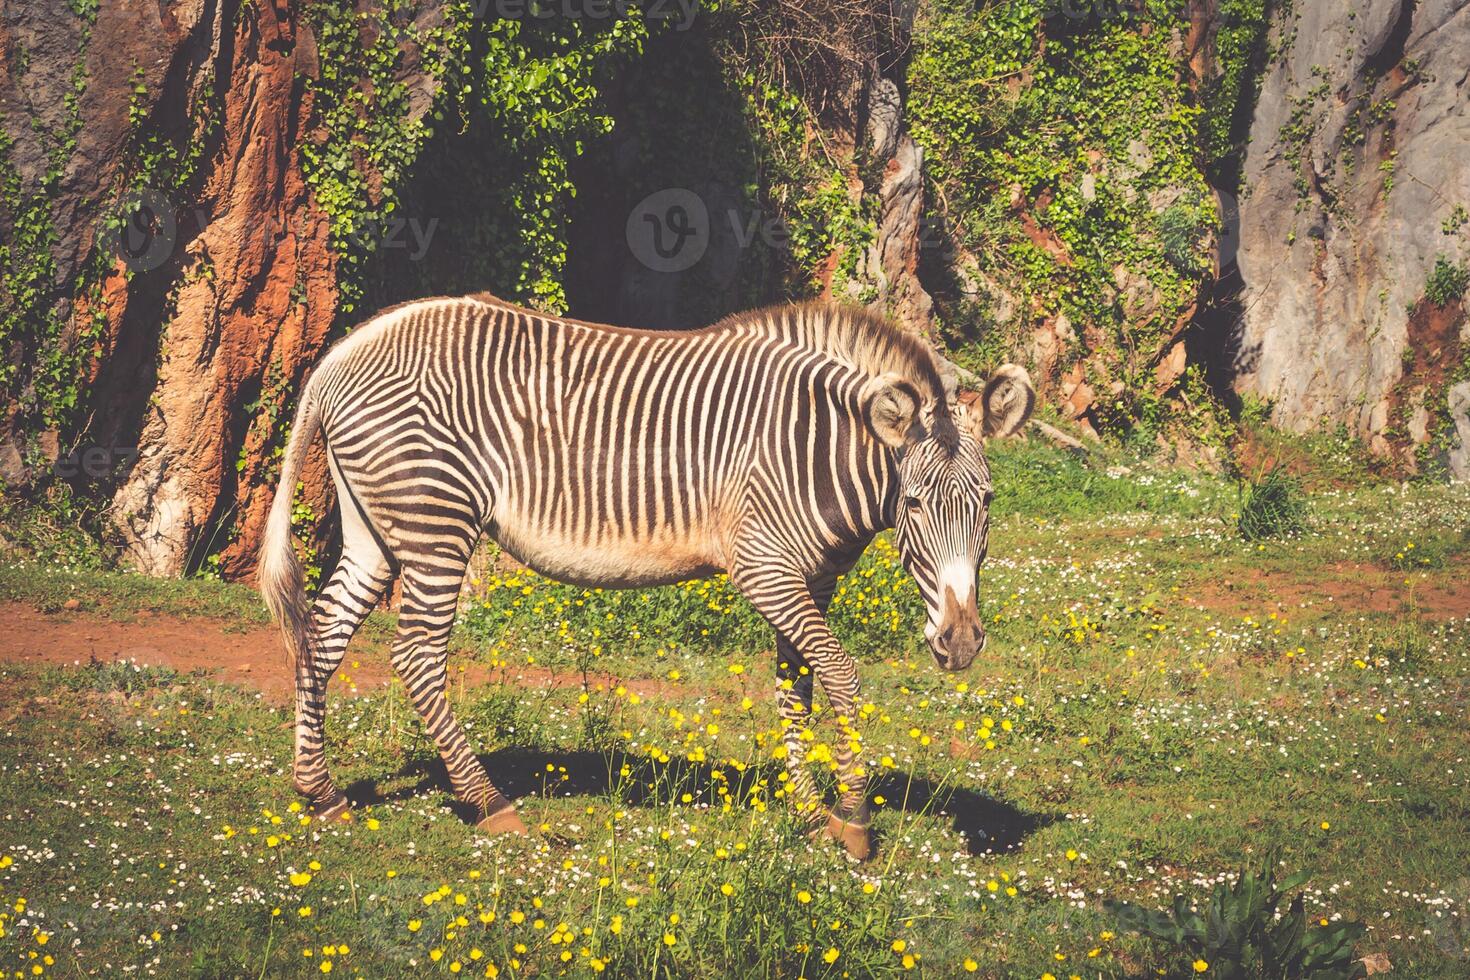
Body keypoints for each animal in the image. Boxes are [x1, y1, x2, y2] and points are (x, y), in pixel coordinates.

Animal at [258, 293, 1034, 858]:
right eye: (915, 503)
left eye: (990, 502)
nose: (961, 643)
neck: (820, 451)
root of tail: (344, 352)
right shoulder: (763, 566)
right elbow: (841, 674)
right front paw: (851, 818)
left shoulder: (810, 578)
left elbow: (798, 687)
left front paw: (811, 811)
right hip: (434, 521)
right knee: (416, 654)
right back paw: (491, 805)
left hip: (375, 528)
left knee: (322, 635)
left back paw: (320, 792)